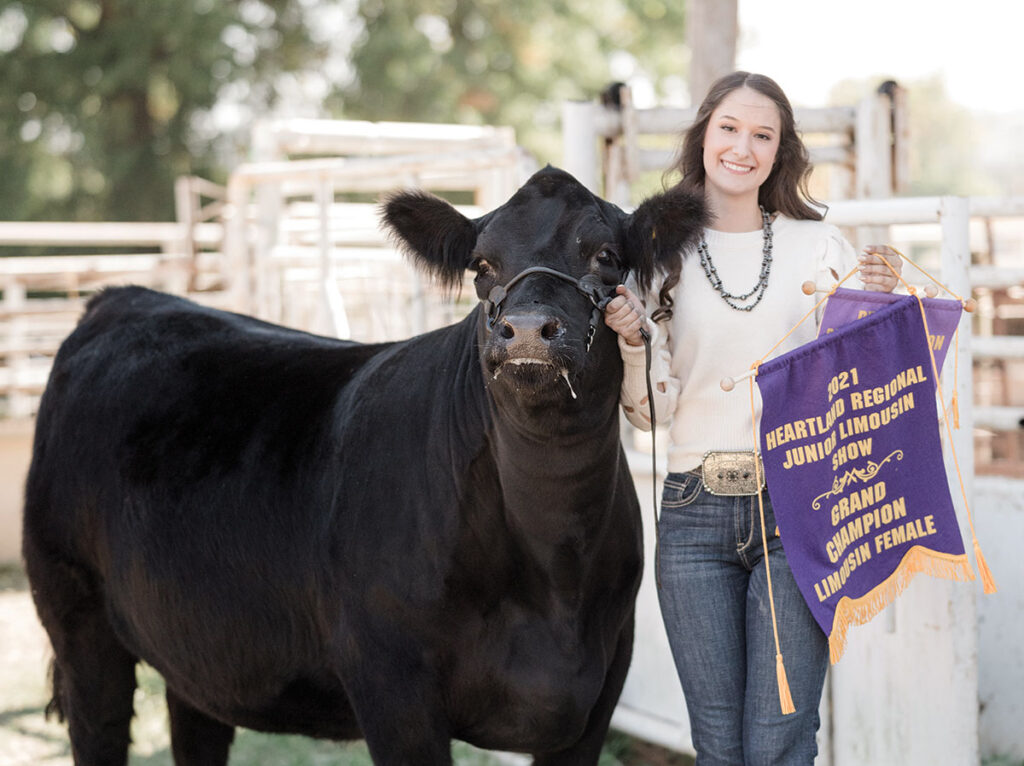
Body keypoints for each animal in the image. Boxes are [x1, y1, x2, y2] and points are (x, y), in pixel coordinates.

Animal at [24, 164, 704, 761]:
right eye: (482, 265)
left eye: (606, 256)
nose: (529, 329)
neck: (554, 564)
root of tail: (125, 298)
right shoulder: (391, 687)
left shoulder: (597, 692)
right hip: (75, 614)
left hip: (195, 646)